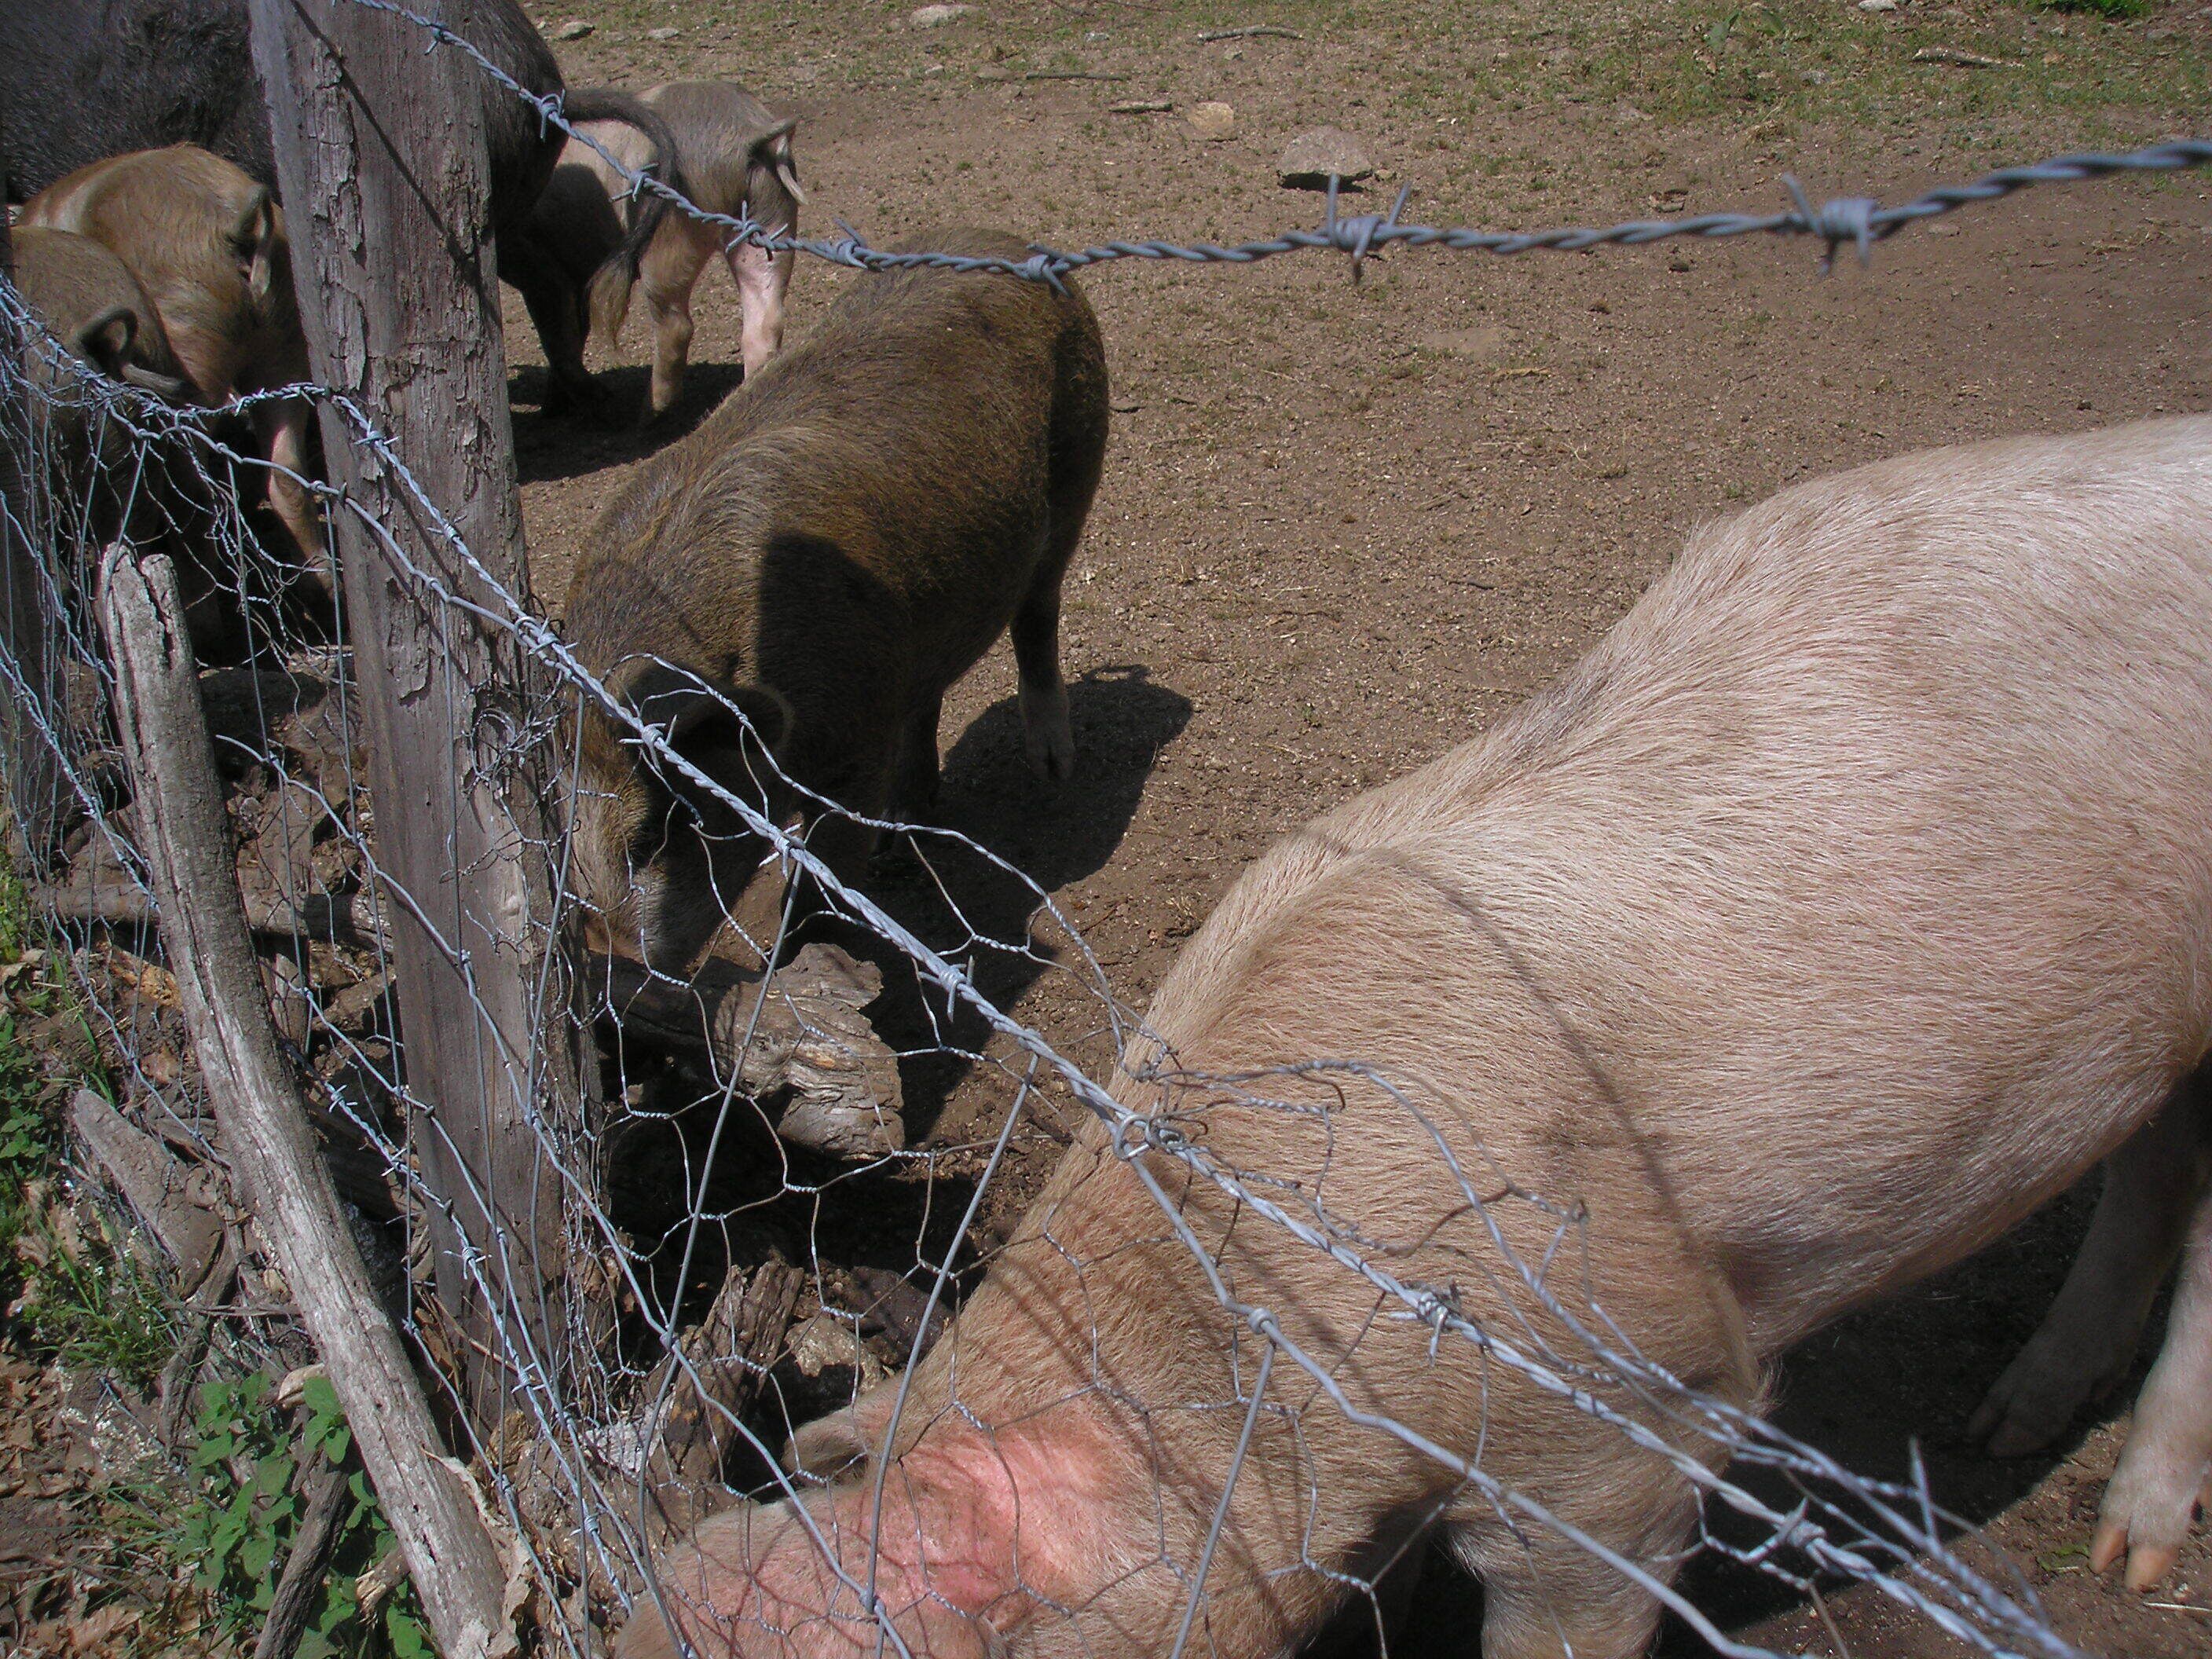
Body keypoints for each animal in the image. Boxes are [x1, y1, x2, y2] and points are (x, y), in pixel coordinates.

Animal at [526, 81, 803, 421]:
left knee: (676, 325)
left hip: (670, 230)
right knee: (766, 318)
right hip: (770, 219)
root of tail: (749, 132)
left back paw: (648, 415)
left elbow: (555, 328)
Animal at [563, 229, 1108, 975]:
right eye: (567, 837)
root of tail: (1012, 243)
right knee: (927, 698)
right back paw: (900, 837)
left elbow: (821, 889)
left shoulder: (850, 754)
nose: (608, 958)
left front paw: (800, 965)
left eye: (652, 834)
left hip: (1079, 460)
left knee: (1038, 616)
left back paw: (1052, 768)